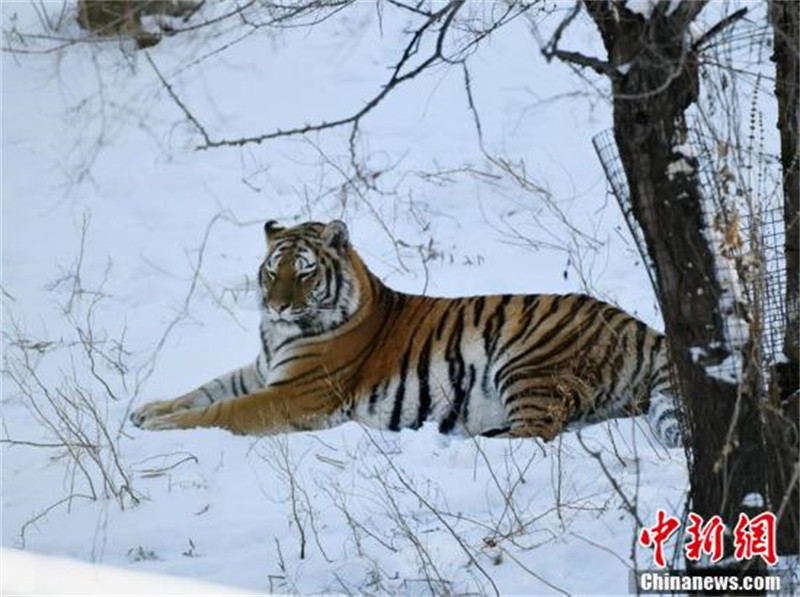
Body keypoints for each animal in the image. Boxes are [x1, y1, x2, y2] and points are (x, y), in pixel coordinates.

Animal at [130, 219, 681, 448]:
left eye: (303, 272)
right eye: (272, 271)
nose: (276, 305)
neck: (279, 334)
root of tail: (637, 325)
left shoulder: (294, 394)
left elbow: (220, 411)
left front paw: (159, 428)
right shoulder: (264, 371)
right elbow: (205, 389)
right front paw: (148, 410)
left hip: (528, 361)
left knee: (539, 433)